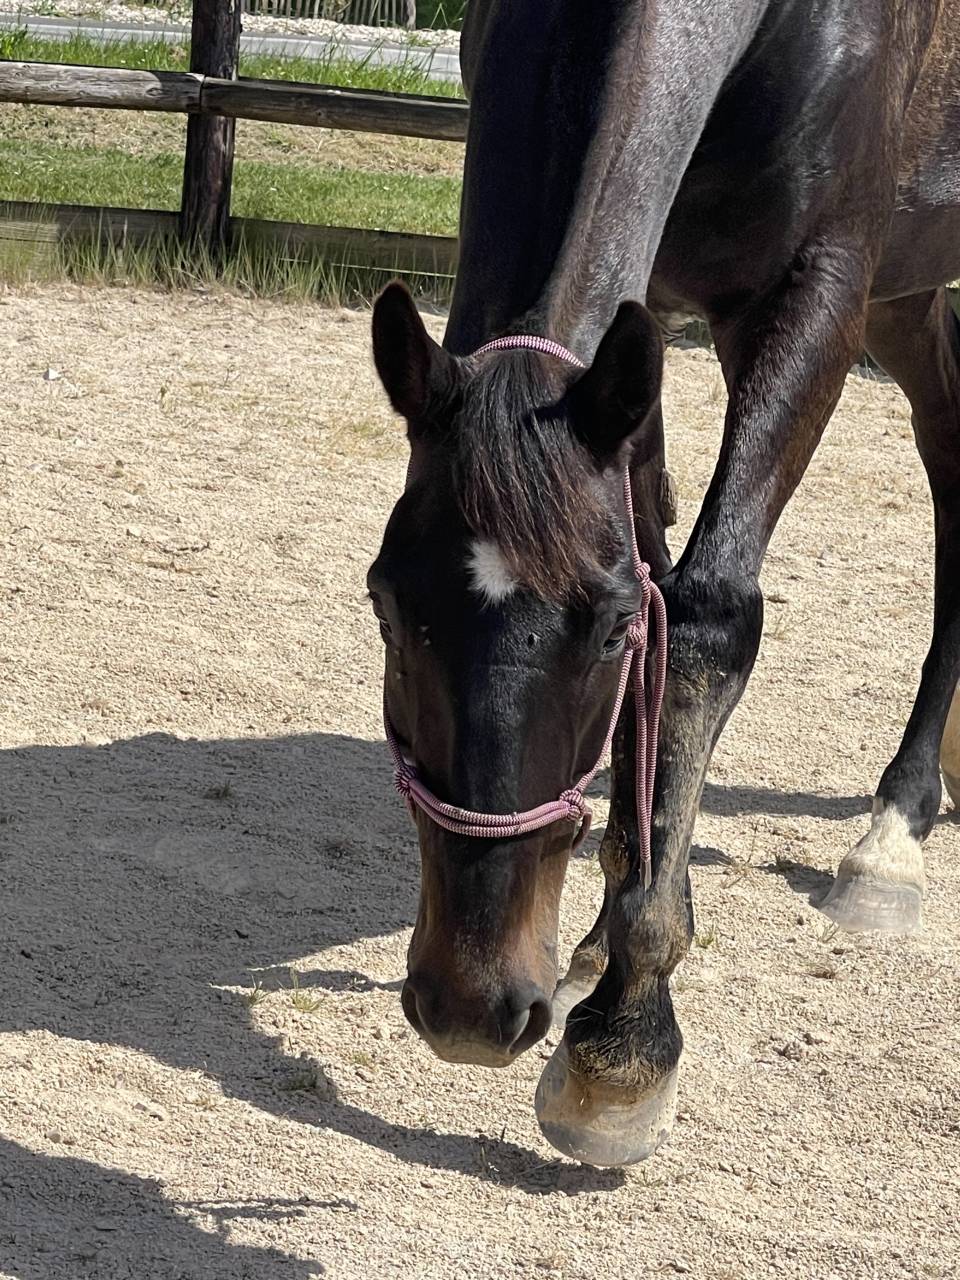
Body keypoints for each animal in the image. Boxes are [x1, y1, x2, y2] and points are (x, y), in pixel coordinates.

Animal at [366, 0, 960, 1166]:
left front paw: (624, 1039)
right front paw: (605, 935)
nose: (471, 1007)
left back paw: (894, 835)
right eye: (386, 603)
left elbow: (706, 619)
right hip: (913, 295)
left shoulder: (816, 290)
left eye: (605, 631)